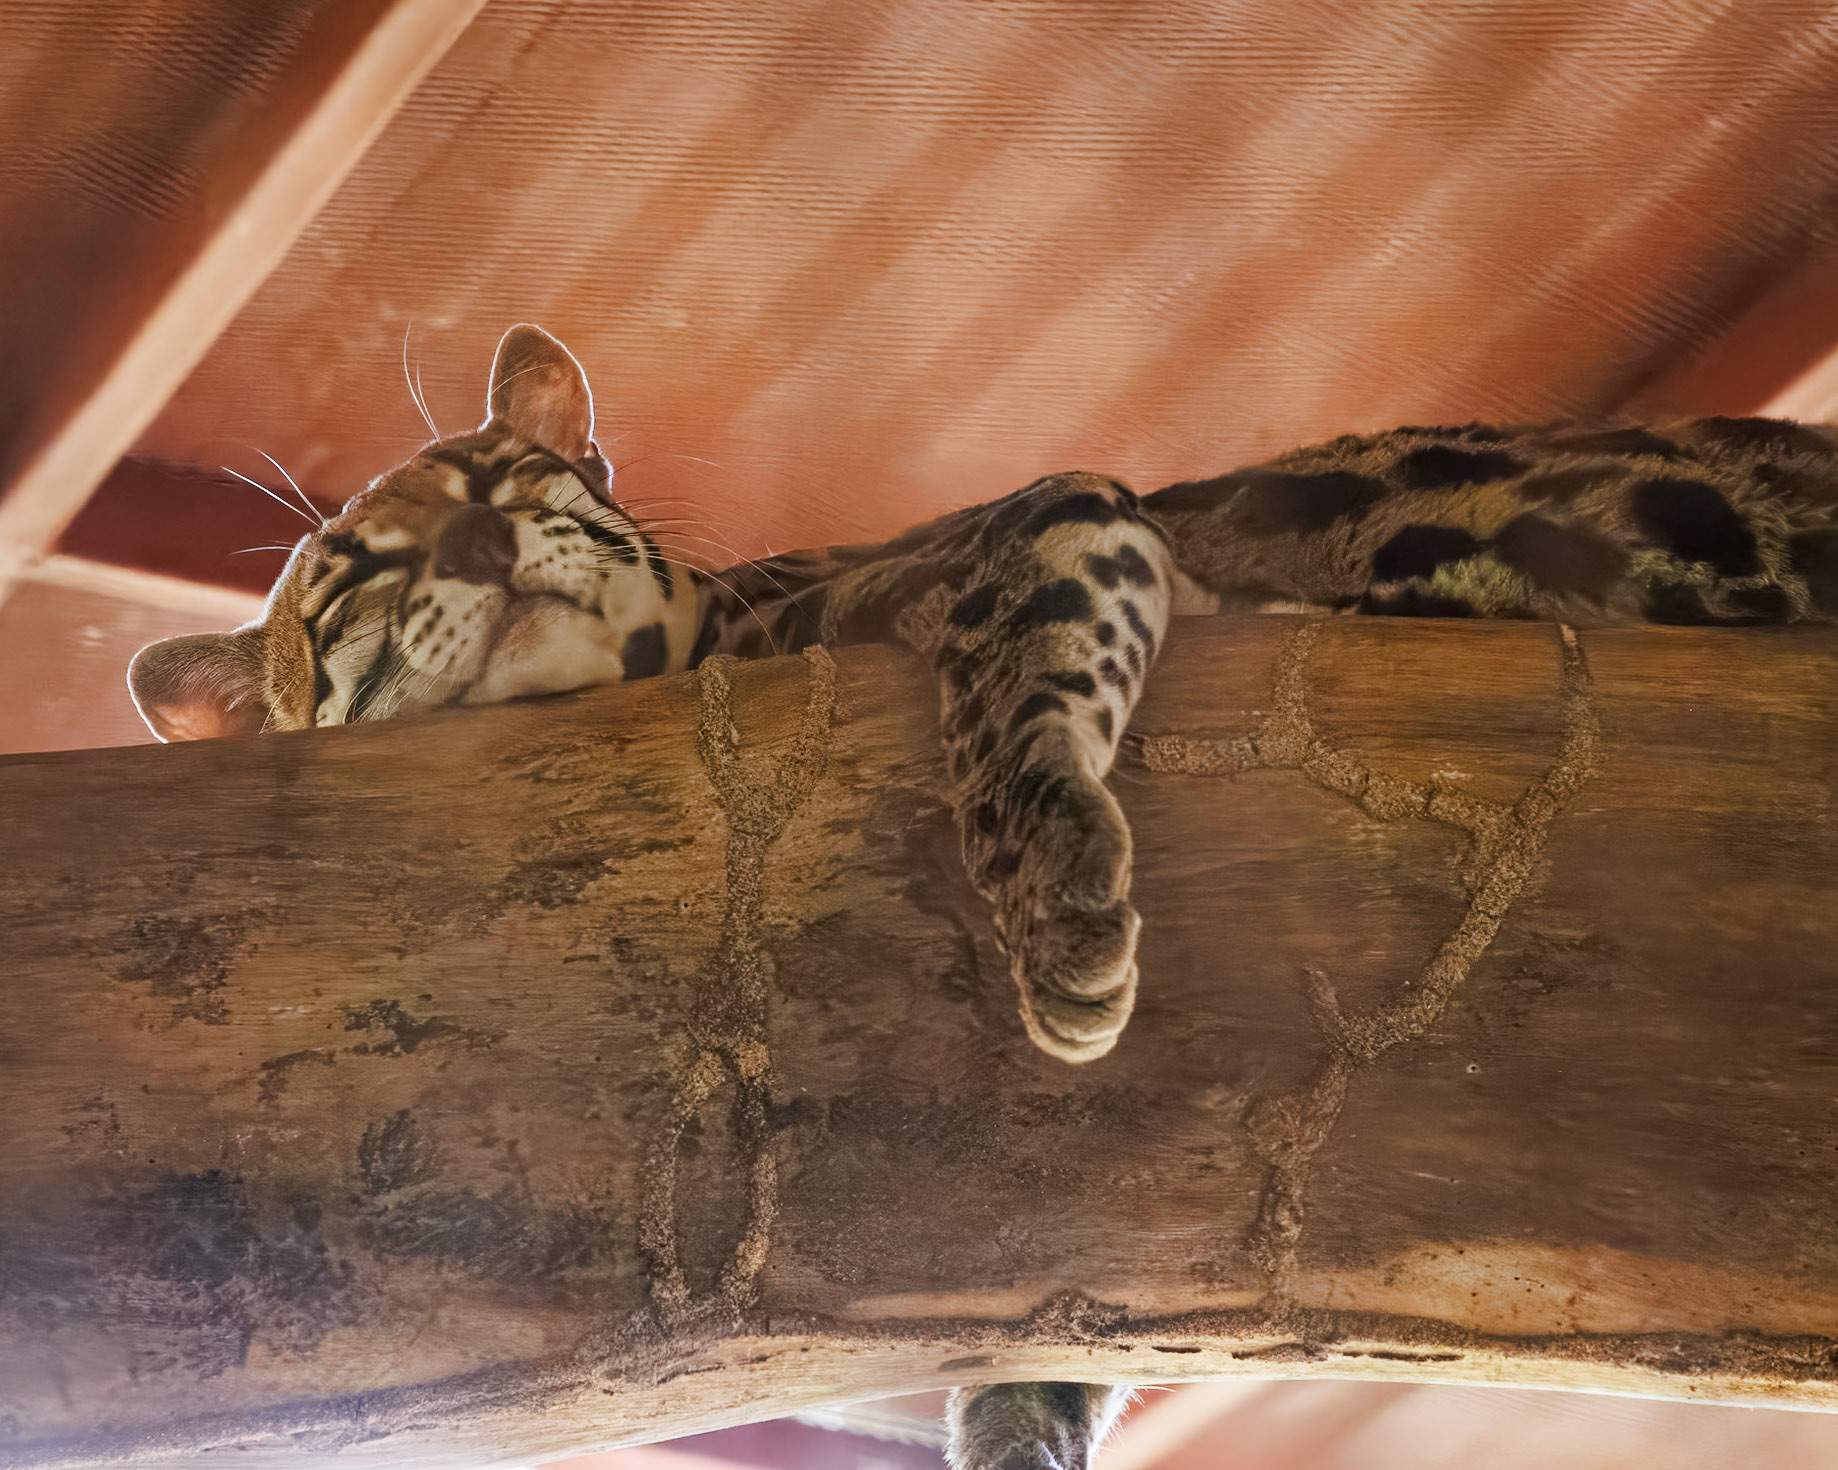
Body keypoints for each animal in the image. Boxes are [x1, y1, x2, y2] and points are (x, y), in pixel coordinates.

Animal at [129, 324, 1838, 1470]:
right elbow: (1029, 1376)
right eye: (354, 573)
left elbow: (1024, 648)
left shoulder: (1057, 511)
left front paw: (1052, 883)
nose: (487, 525)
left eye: (503, 470)